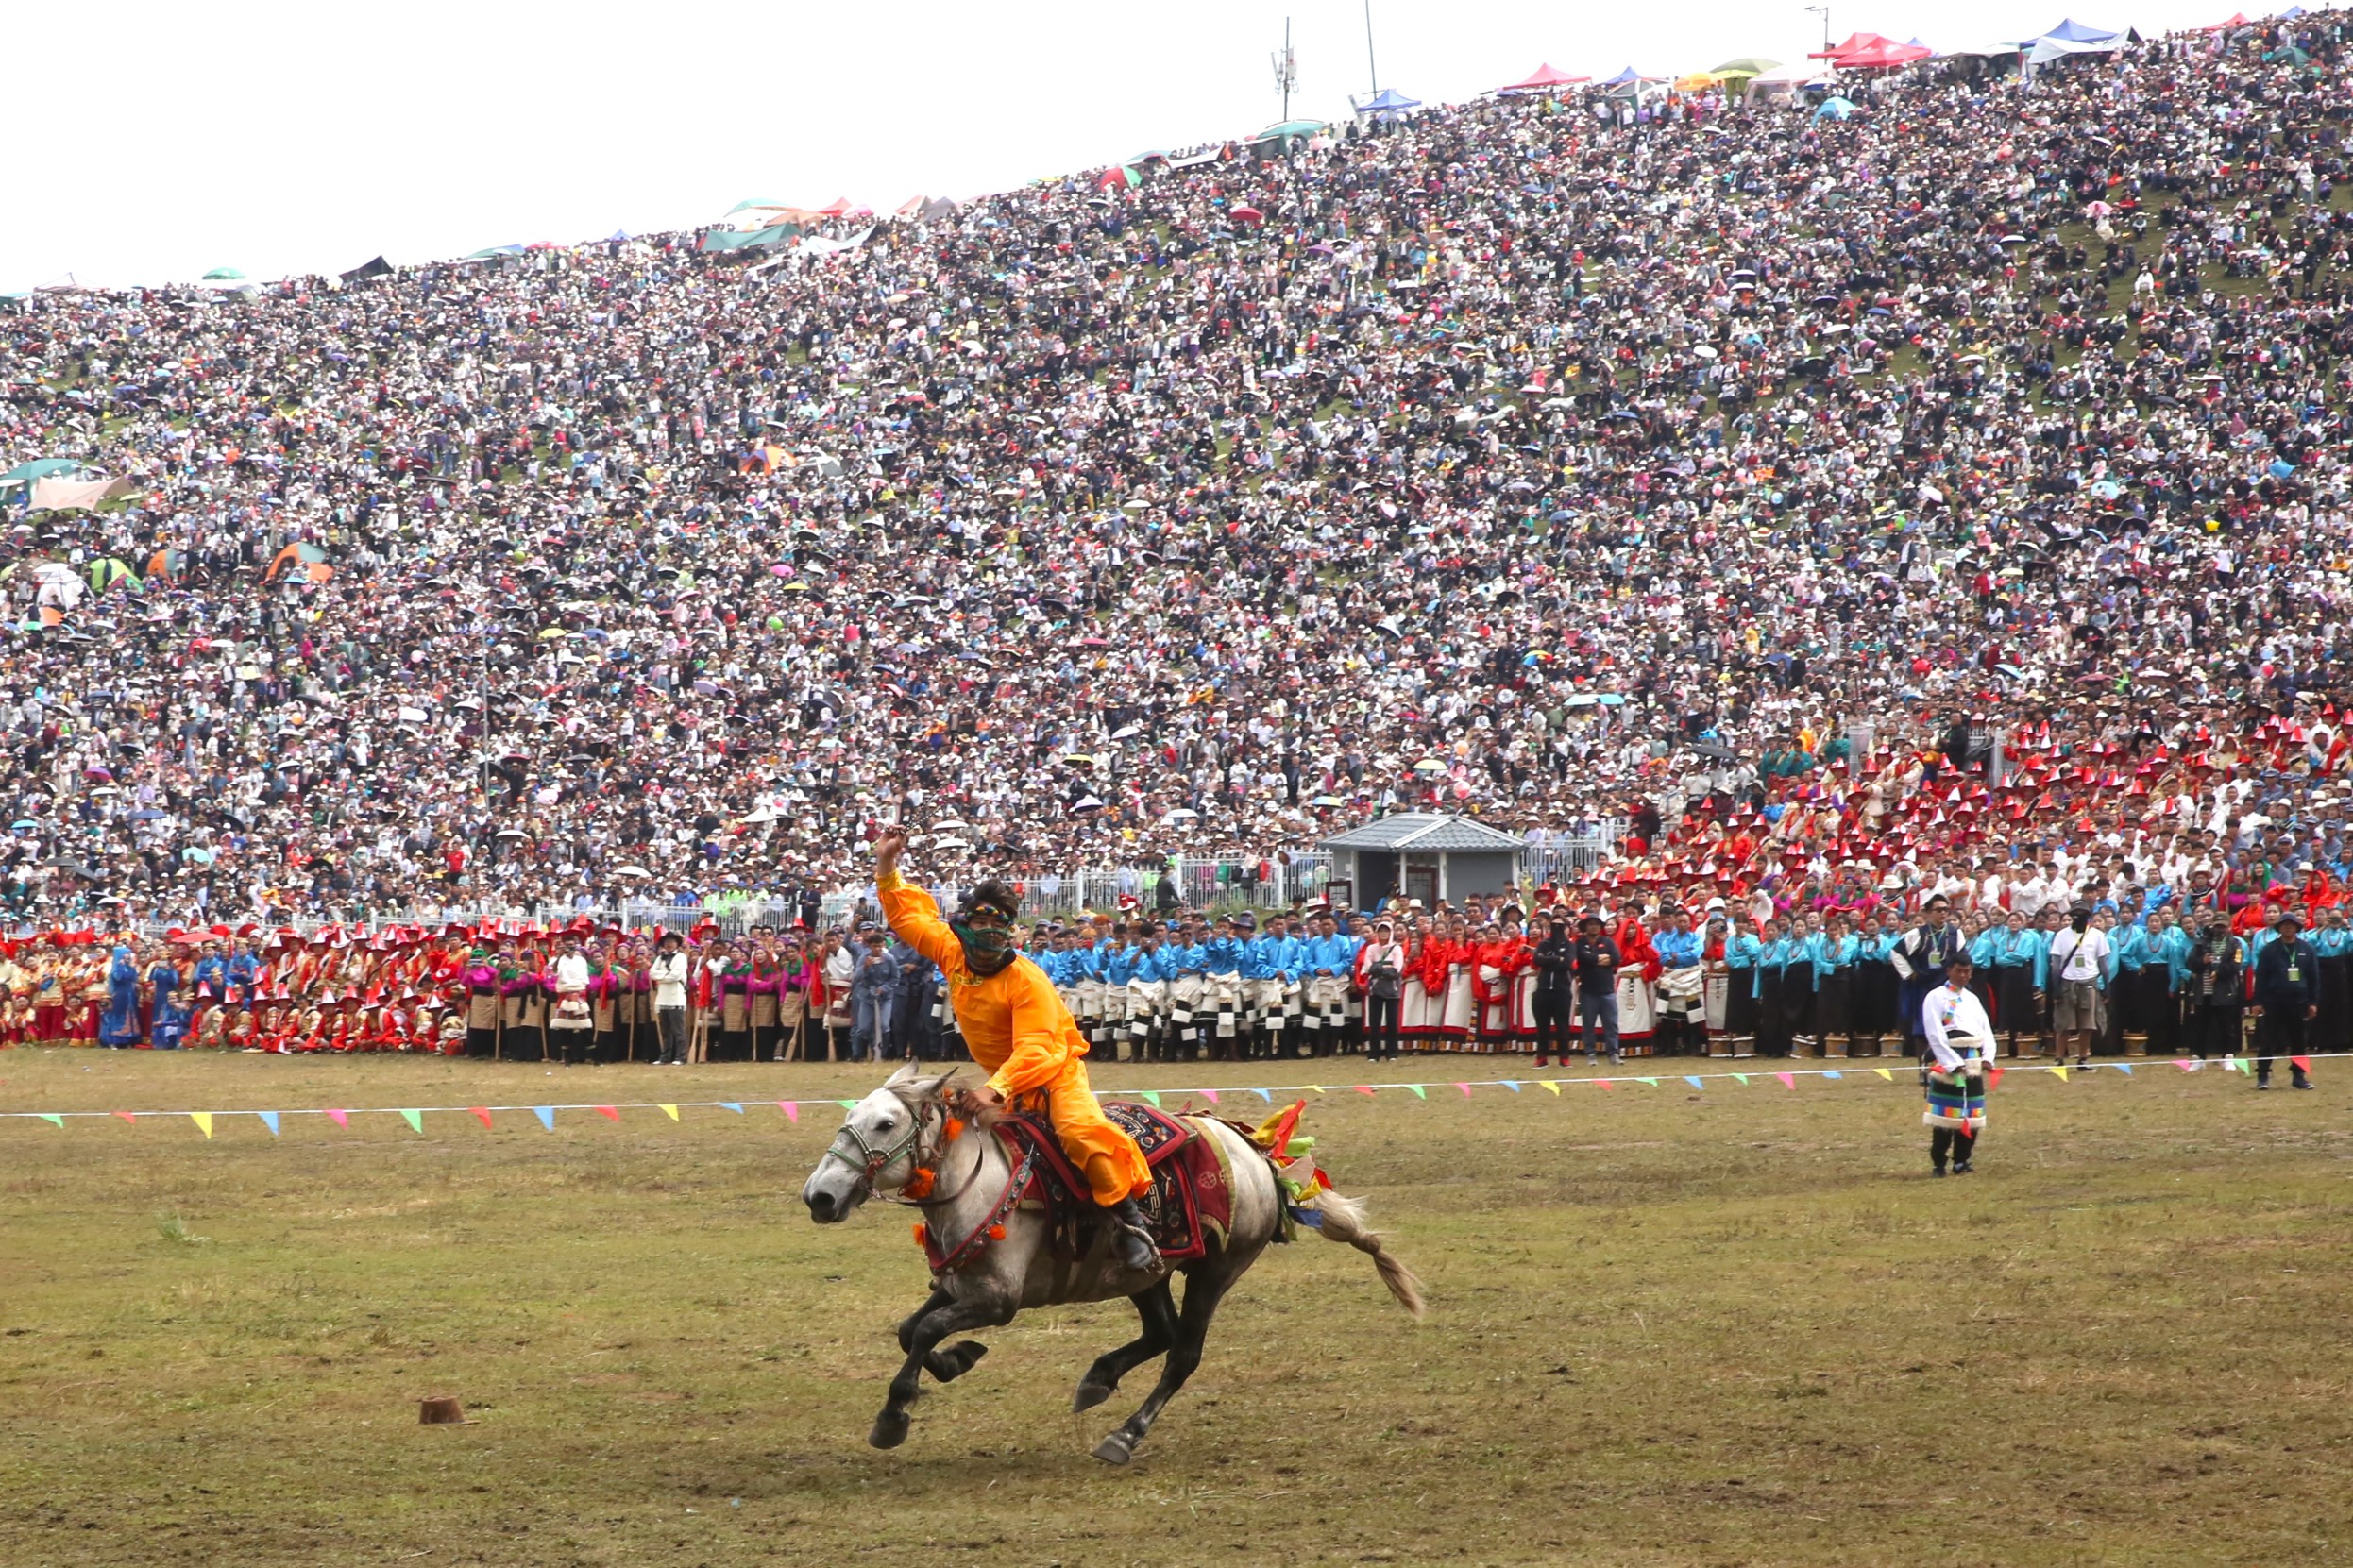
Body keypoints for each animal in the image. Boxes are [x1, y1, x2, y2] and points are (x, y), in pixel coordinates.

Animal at [801, 1062, 1424, 1464]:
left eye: (886, 1124)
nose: (820, 1197)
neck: (979, 1181)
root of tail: (1258, 1154)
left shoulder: (998, 1300)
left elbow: (926, 1330)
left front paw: (893, 1417)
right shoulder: (959, 1284)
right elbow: (911, 1331)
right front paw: (957, 1361)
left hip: (1216, 1270)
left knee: (1183, 1353)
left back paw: (1124, 1436)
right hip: (1146, 1272)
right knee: (1161, 1331)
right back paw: (1098, 1378)